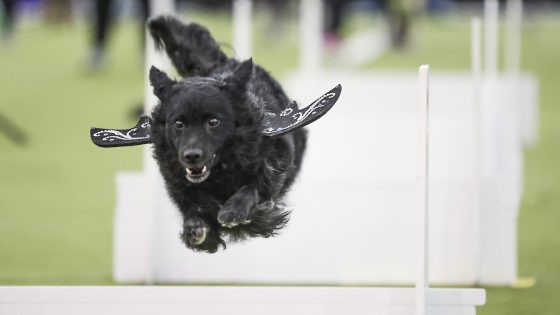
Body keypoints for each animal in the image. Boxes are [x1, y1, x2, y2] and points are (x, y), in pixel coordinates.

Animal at [144, 17, 306, 254]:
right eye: (178, 124)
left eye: (213, 121)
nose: (191, 156)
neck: (219, 170)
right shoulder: (179, 184)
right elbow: (194, 208)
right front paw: (195, 227)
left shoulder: (271, 169)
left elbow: (253, 187)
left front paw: (234, 211)